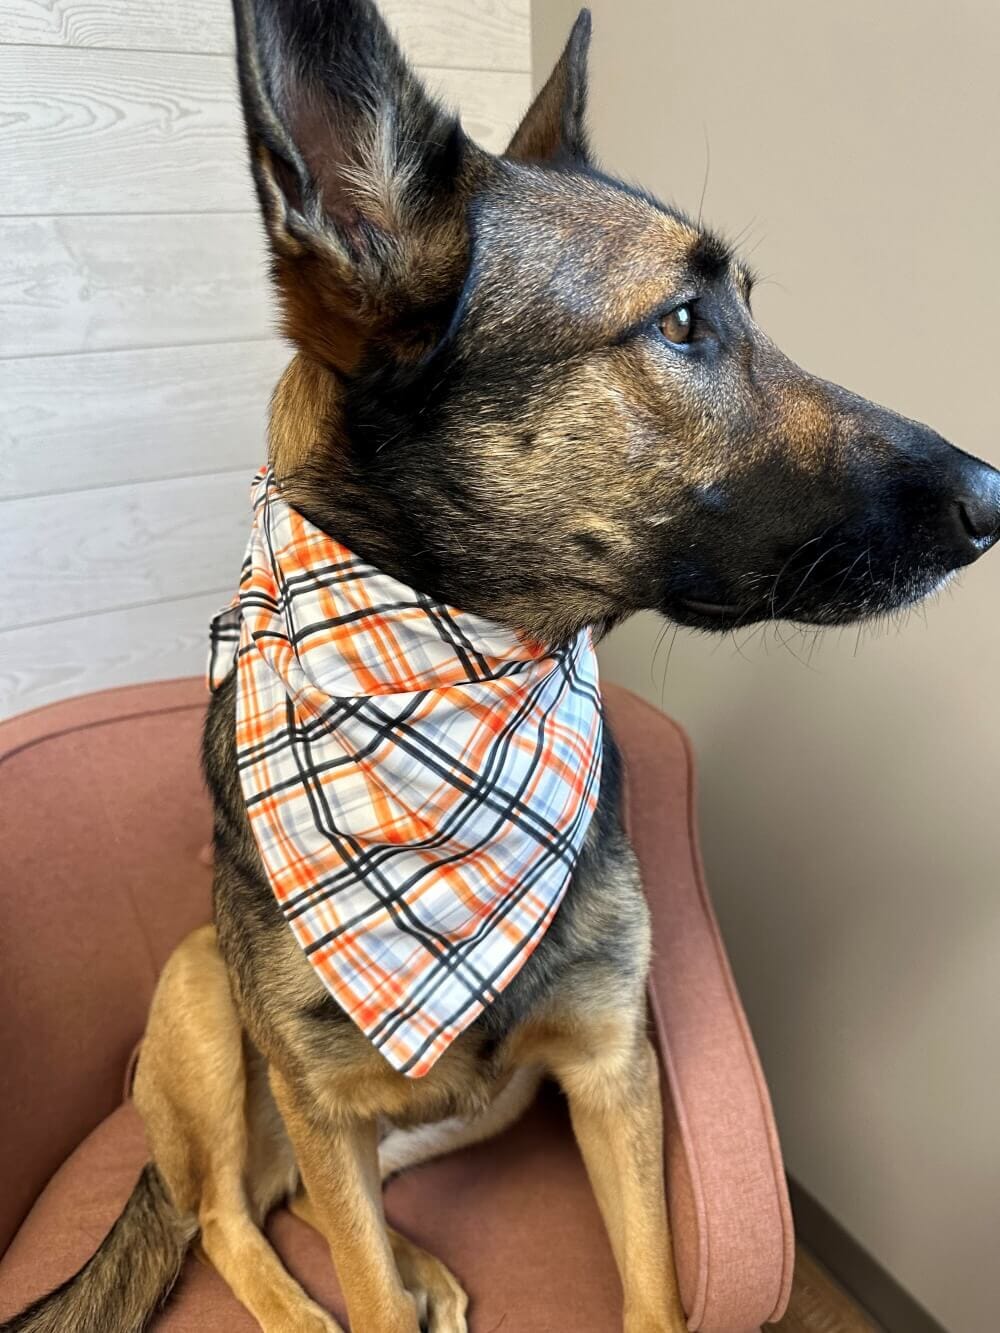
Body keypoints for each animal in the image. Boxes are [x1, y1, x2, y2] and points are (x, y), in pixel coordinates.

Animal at [3, 2, 997, 1333]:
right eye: (681, 324)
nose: (995, 497)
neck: (461, 678)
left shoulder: (611, 1072)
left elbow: (652, 1293)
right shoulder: (323, 1098)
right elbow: (353, 1275)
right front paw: (366, 1297)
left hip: (476, 1103)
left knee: (294, 1193)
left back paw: (419, 1262)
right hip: (209, 1002)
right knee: (226, 1209)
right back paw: (308, 1302)